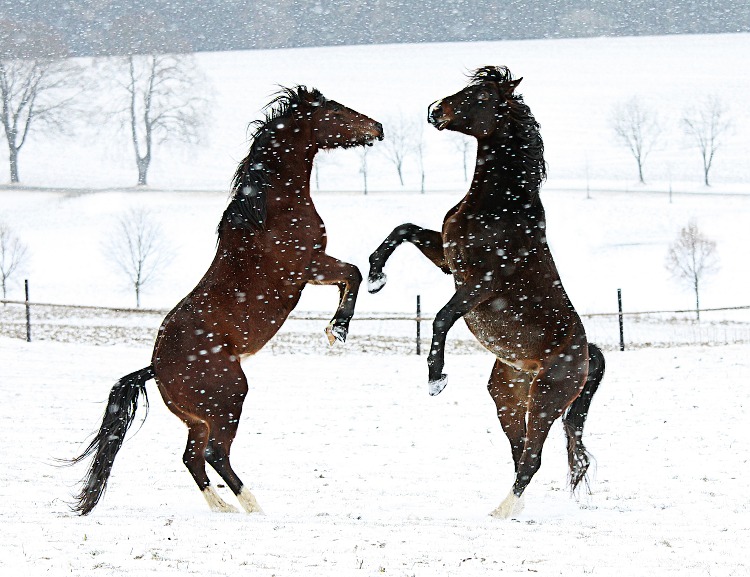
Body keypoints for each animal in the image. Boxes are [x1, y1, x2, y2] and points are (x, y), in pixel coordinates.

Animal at [71, 84, 384, 512]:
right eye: (335, 112)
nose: (378, 127)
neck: (270, 209)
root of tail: (156, 369)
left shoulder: (315, 269)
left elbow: (348, 278)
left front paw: (336, 329)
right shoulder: (308, 266)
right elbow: (352, 273)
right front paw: (337, 331)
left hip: (199, 418)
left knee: (191, 457)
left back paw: (224, 509)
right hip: (229, 398)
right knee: (214, 454)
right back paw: (253, 506)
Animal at [368, 67, 608, 516]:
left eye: (480, 97)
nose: (434, 110)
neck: (499, 205)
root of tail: (588, 355)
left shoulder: (481, 284)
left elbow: (441, 317)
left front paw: (436, 378)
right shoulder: (449, 263)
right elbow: (403, 229)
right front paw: (376, 277)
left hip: (546, 399)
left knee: (533, 457)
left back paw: (501, 513)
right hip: (507, 397)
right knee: (522, 452)